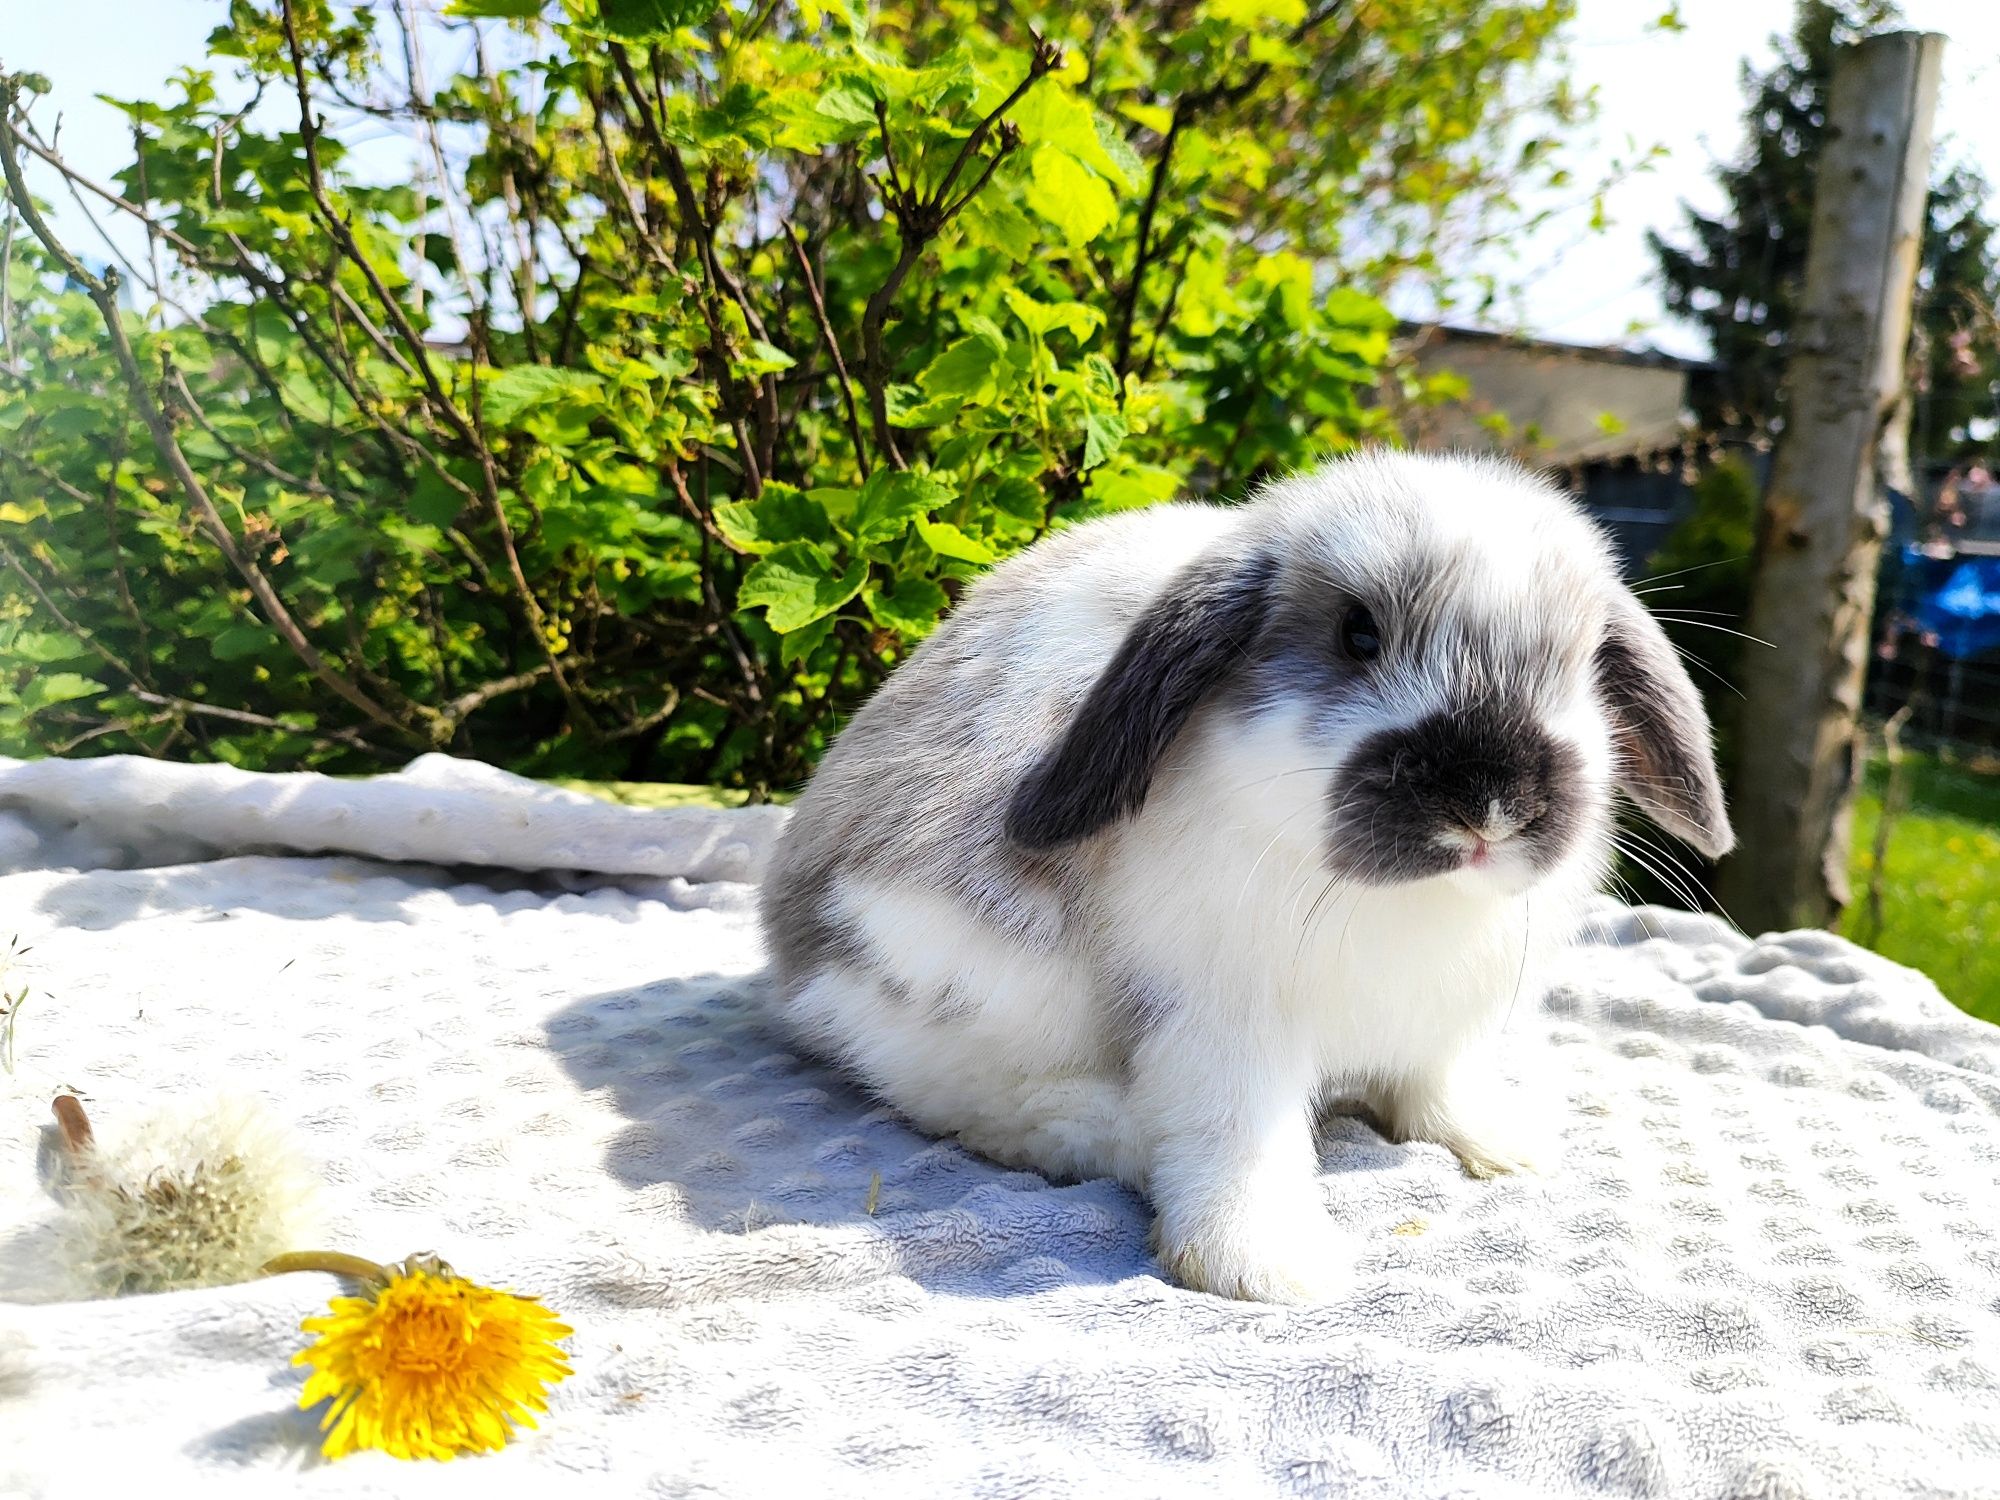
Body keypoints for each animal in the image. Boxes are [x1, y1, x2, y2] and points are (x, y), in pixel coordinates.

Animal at [756, 446, 1728, 1304]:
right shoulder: (1222, 1026)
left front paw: (1503, 1145)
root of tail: (789, 962)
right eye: (1356, 633)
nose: (1490, 802)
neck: (1403, 899)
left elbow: (1437, 1088)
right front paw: (1269, 1270)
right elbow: (1240, 1140)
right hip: (962, 982)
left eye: (1582, 663)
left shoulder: (1442, 1025)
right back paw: (1115, 1135)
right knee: (964, 1094)